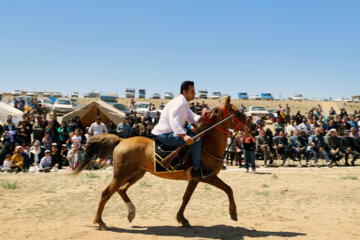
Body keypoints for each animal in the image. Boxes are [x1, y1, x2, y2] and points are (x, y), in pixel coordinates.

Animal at [73, 96, 253, 230]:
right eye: (237, 112)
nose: (250, 123)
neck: (207, 143)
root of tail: (121, 140)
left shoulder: (194, 179)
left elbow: (186, 198)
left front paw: (182, 218)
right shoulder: (208, 177)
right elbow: (228, 189)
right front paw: (233, 213)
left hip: (136, 174)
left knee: (121, 190)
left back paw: (131, 212)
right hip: (121, 175)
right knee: (106, 193)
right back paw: (100, 222)